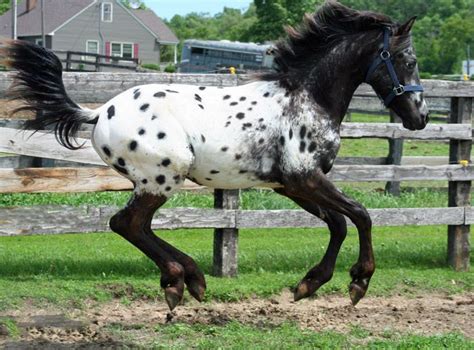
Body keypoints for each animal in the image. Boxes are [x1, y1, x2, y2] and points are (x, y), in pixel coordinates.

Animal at [0, 1, 430, 310]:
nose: (421, 117)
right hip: (164, 175)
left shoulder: (290, 185)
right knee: (127, 223)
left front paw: (308, 284)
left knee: (137, 226)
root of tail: (99, 111)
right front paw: (359, 281)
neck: (308, 99)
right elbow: (361, 213)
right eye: (408, 60)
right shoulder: (304, 178)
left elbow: (338, 223)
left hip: (157, 180)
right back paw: (180, 279)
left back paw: (190, 278)